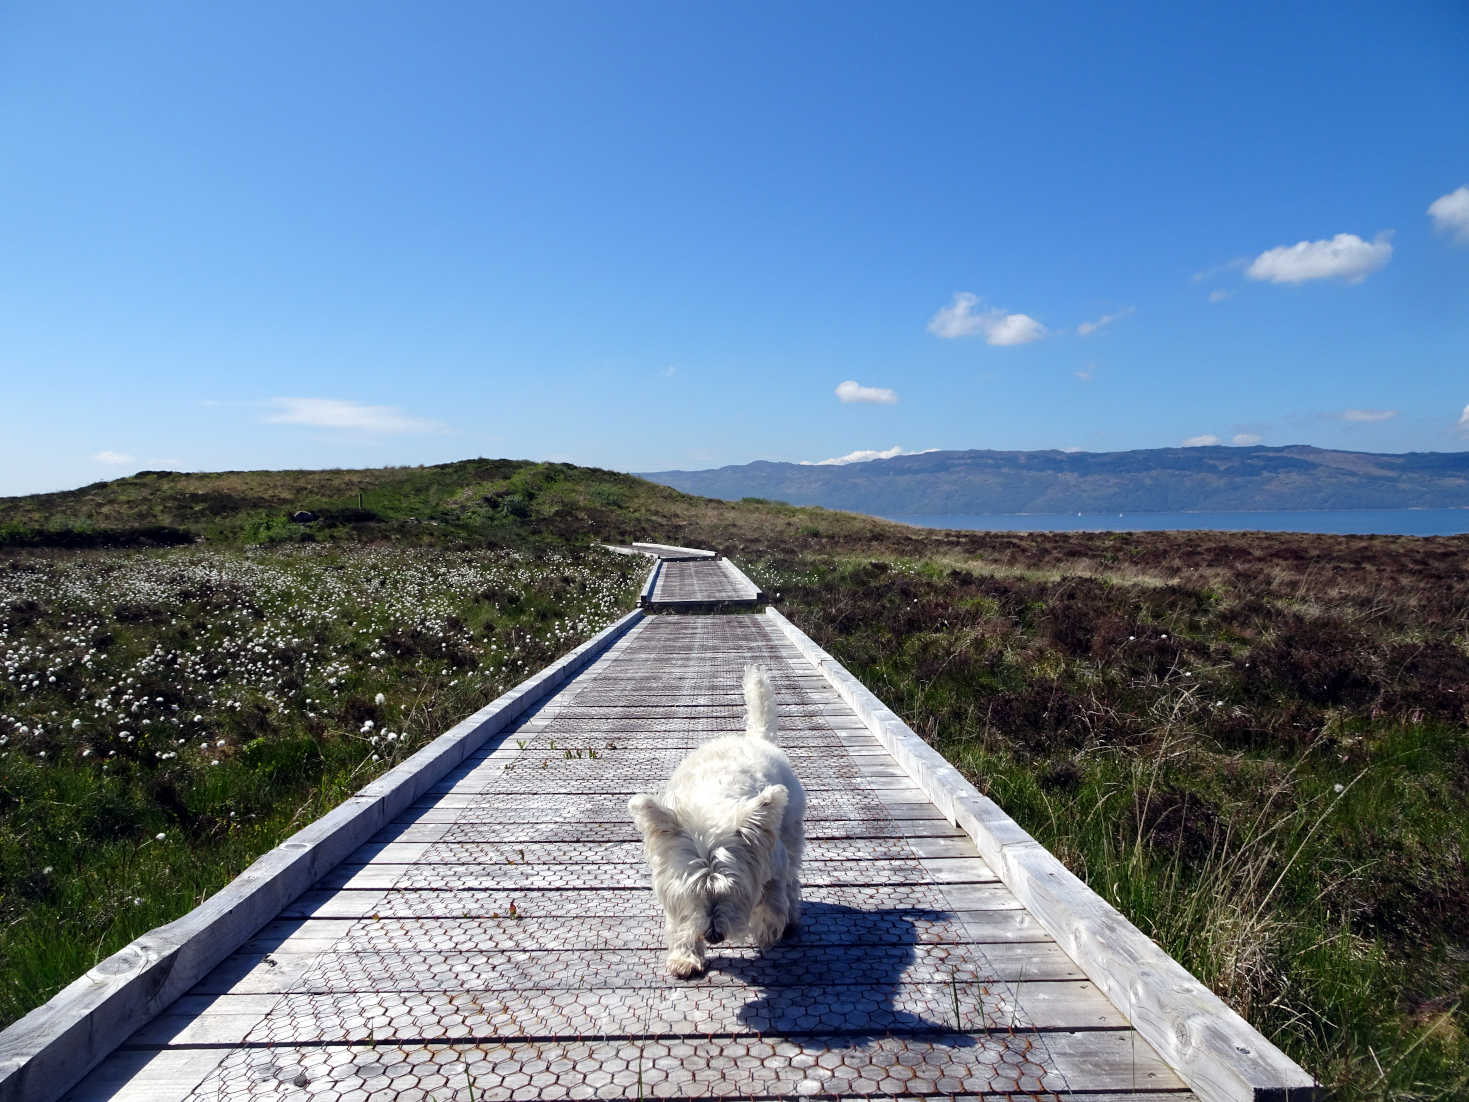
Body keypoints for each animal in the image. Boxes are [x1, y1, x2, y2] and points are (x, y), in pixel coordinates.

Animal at [628, 670, 810, 981]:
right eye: (693, 891)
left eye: (732, 888)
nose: (713, 936)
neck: (709, 807)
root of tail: (756, 739)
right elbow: (680, 920)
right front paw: (685, 957)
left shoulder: (773, 859)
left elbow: (773, 895)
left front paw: (767, 928)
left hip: (790, 832)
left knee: (792, 880)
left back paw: (790, 919)